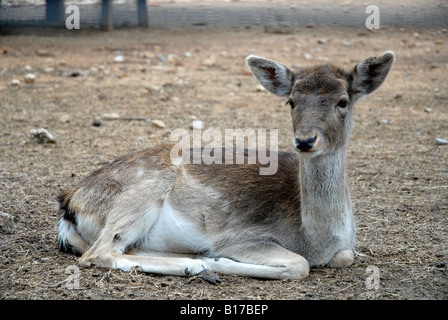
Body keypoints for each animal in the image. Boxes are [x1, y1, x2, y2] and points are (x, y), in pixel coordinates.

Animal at [57, 50, 396, 282]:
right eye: (291, 101)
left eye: (343, 101)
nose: (304, 140)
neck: (316, 239)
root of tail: (69, 202)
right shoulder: (241, 237)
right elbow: (299, 265)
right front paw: (217, 261)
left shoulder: (345, 247)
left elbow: (346, 256)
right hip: (140, 192)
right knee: (98, 252)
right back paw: (197, 265)